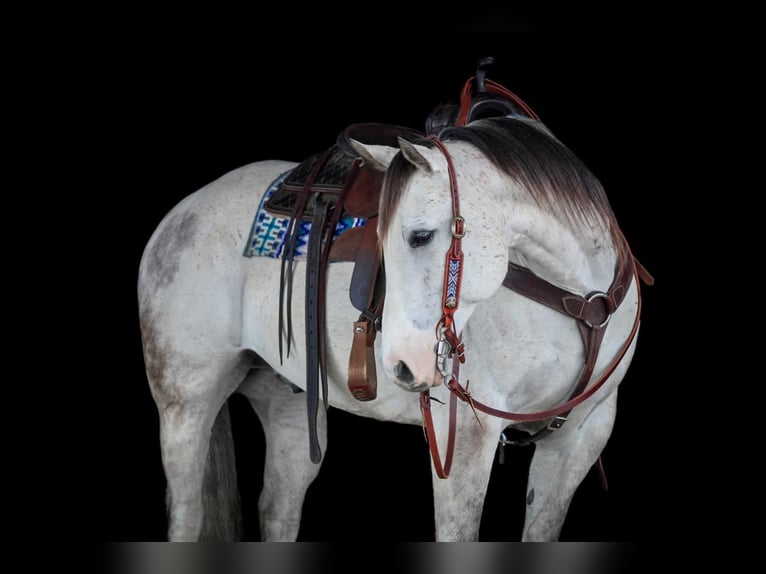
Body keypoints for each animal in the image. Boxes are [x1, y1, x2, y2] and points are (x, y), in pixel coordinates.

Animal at [137, 73, 652, 541]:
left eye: (420, 236)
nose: (402, 366)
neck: (581, 300)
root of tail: (180, 214)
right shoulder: (466, 440)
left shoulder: (580, 438)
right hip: (185, 403)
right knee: (187, 515)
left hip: (288, 401)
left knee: (277, 510)